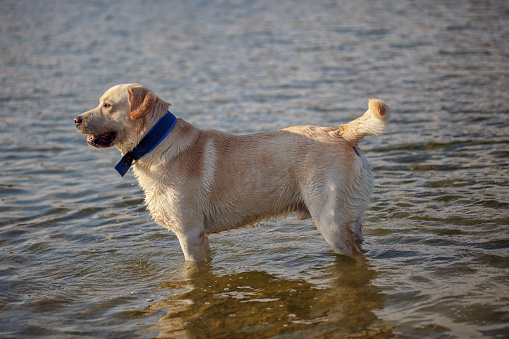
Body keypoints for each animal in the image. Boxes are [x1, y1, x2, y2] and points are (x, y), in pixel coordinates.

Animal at [73, 83, 386, 262]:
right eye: (99, 102)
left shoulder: (189, 234)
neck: (156, 143)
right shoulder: (201, 237)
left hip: (330, 223)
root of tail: (341, 132)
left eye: (107, 105)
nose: (75, 119)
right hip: (350, 218)